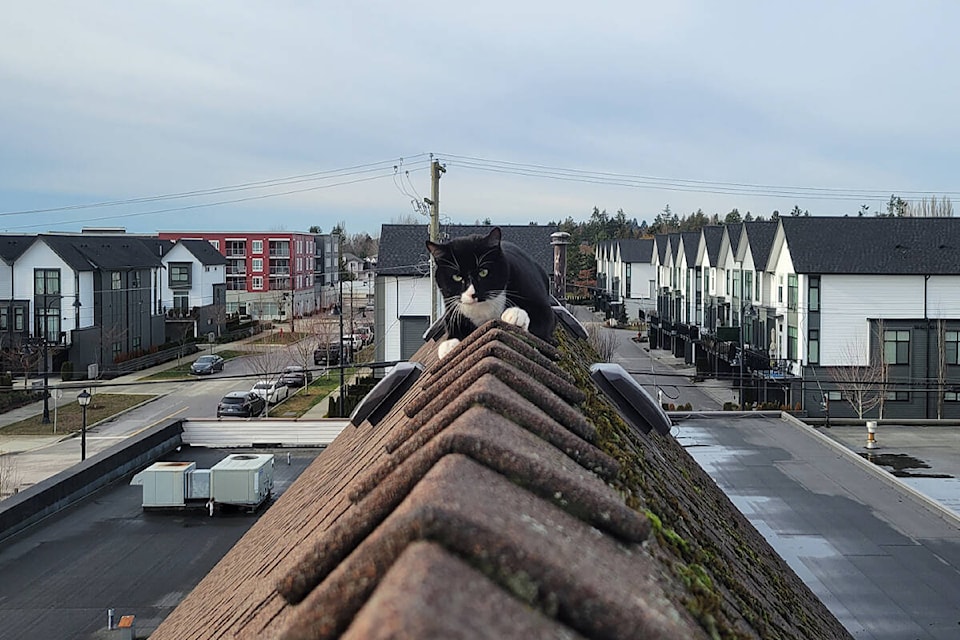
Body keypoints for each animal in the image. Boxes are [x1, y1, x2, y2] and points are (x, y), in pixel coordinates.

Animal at [426, 226, 556, 358]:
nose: (473, 294)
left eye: (483, 272)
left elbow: (543, 319)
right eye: (457, 277)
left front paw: (516, 314)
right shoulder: (452, 309)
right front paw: (449, 344)